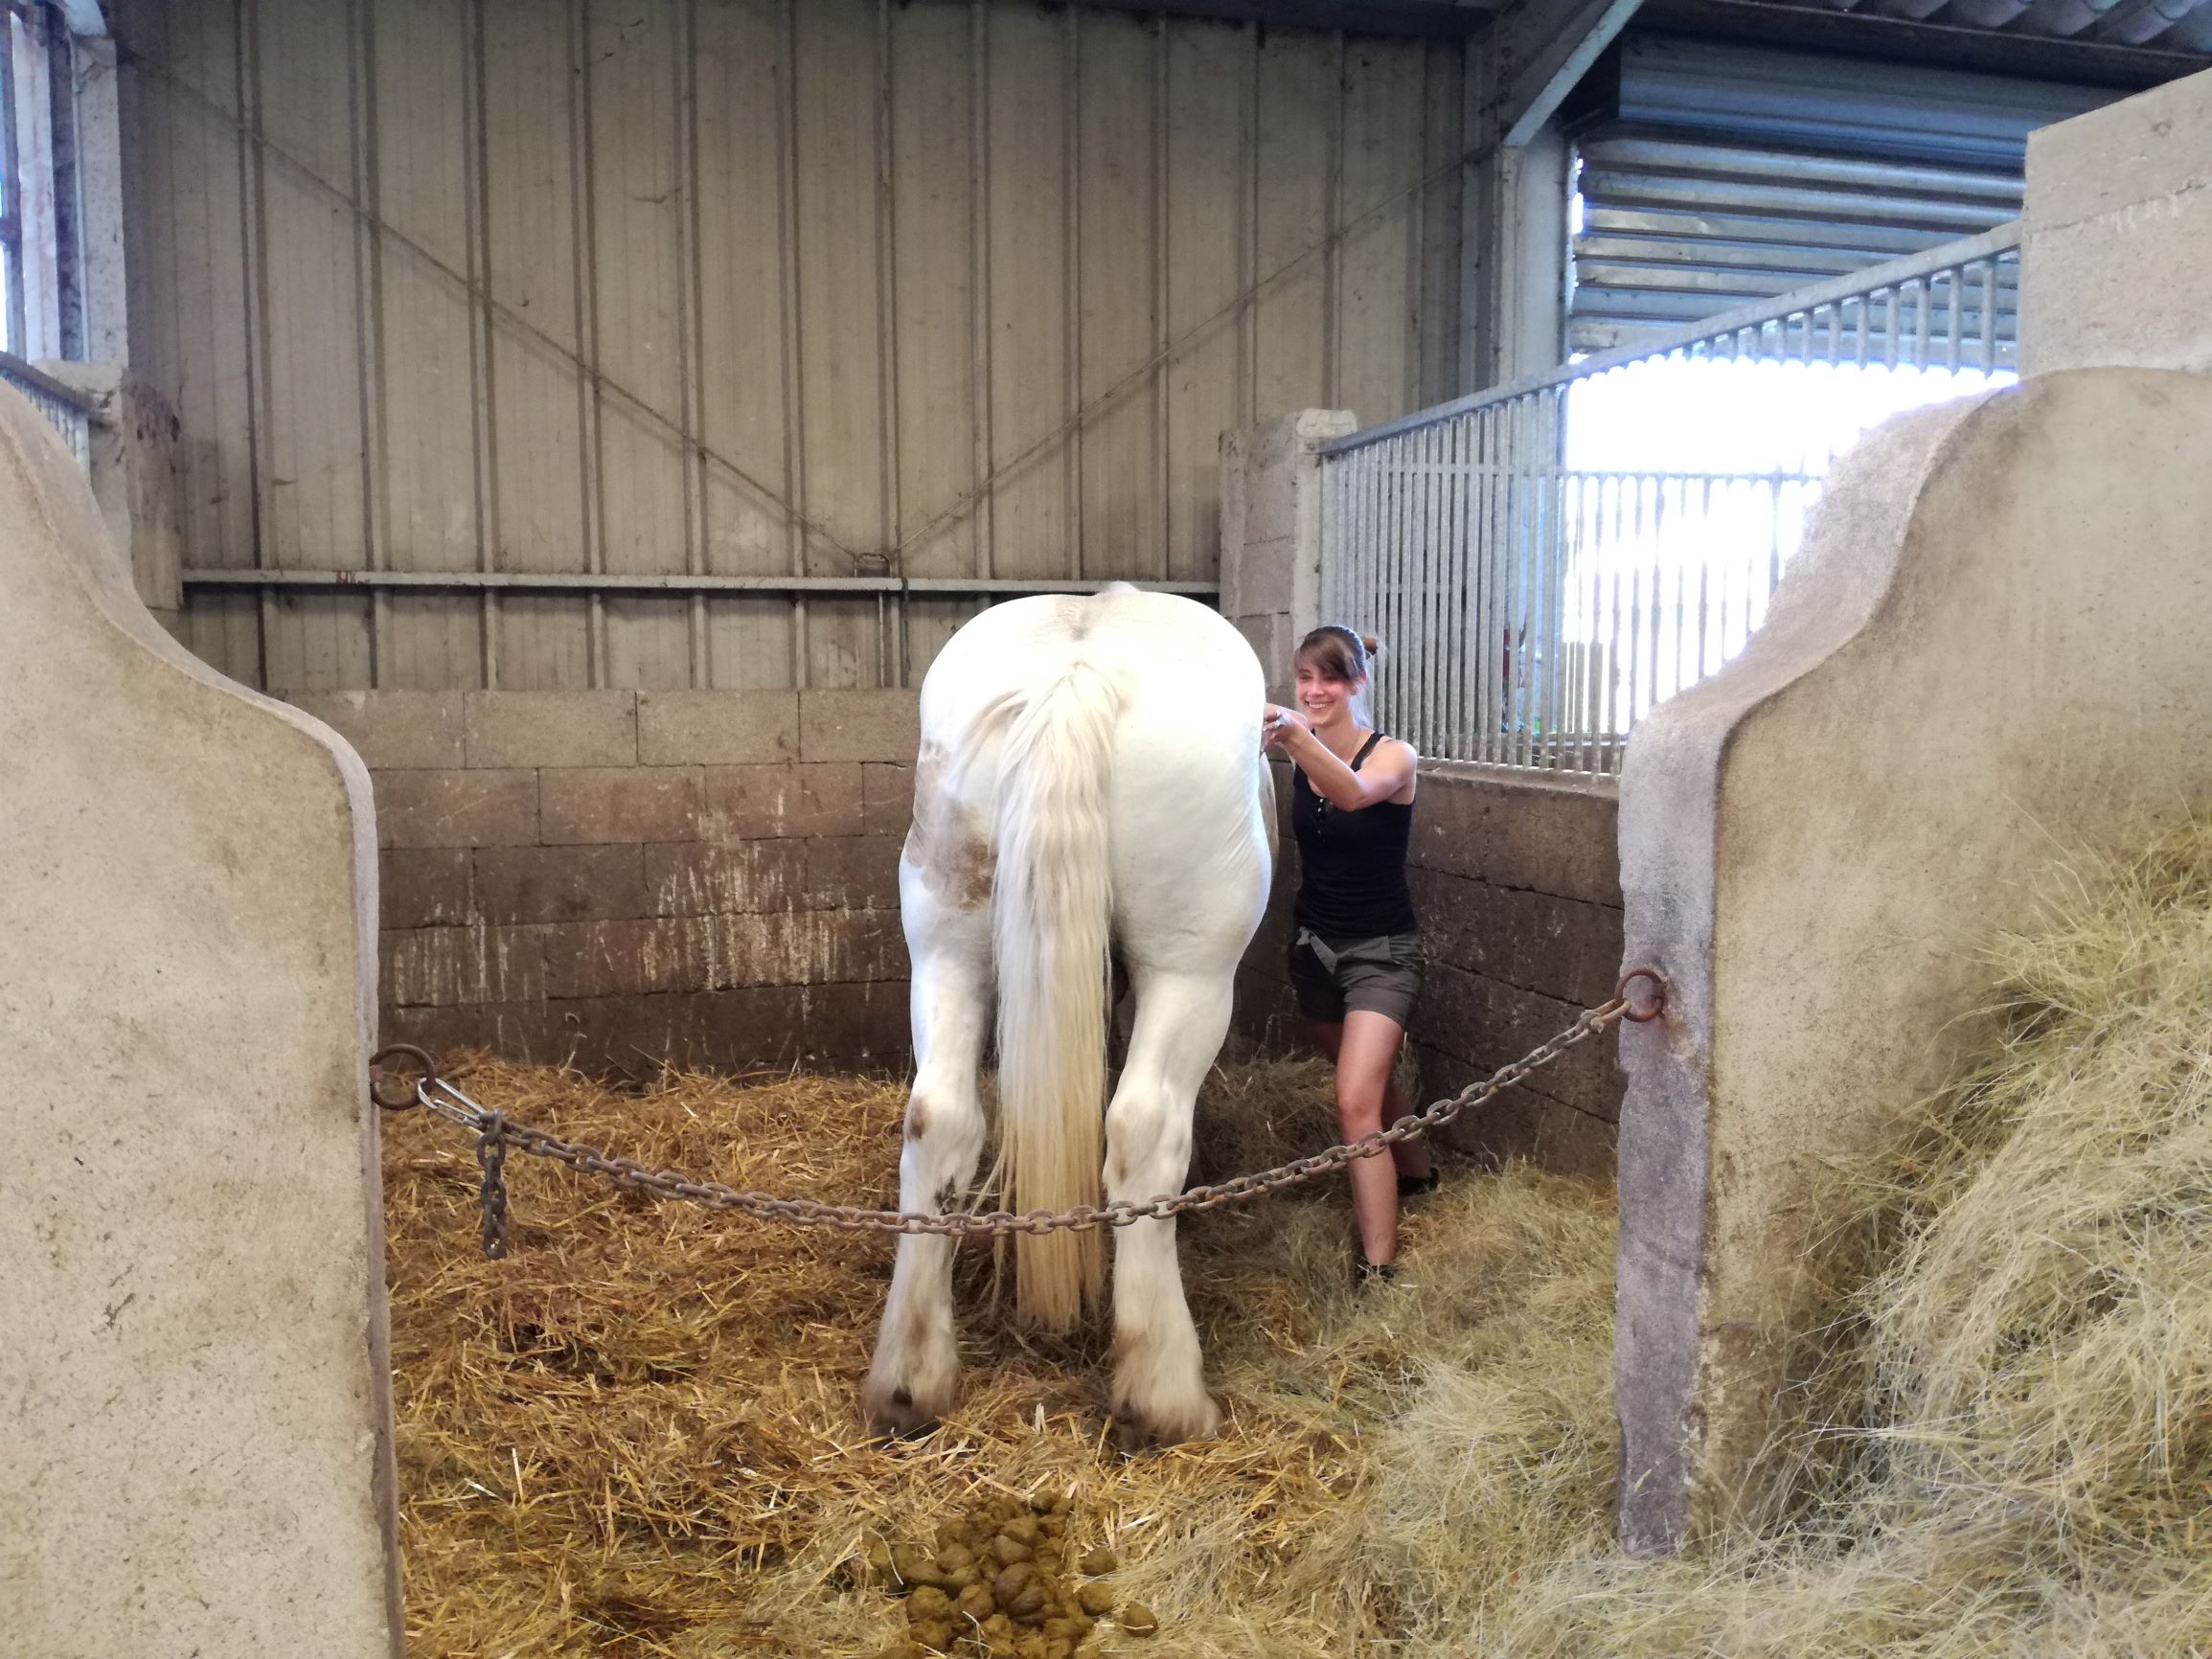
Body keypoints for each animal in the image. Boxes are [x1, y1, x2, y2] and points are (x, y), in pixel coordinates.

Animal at [862, 592, 1283, 1450]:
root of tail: (1075, 669)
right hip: (1192, 973)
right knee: (1145, 1128)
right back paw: (1164, 1396)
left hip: (946, 946)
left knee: (938, 1119)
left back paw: (910, 1379)